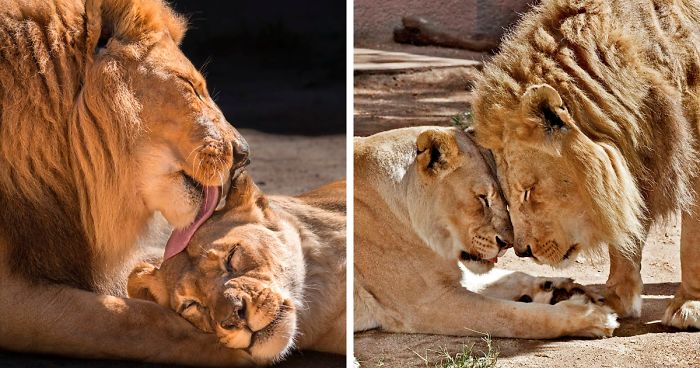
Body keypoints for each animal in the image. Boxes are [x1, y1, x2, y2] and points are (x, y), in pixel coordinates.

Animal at [356, 125, 616, 338]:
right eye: (483, 198)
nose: (507, 244)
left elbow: (512, 276)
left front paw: (563, 288)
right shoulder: (429, 304)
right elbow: (520, 317)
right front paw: (594, 317)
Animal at [474, 0, 696, 330]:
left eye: (528, 191)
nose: (522, 251)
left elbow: (691, 243)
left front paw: (689, 307)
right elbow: (623, 234)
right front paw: (613, 300)